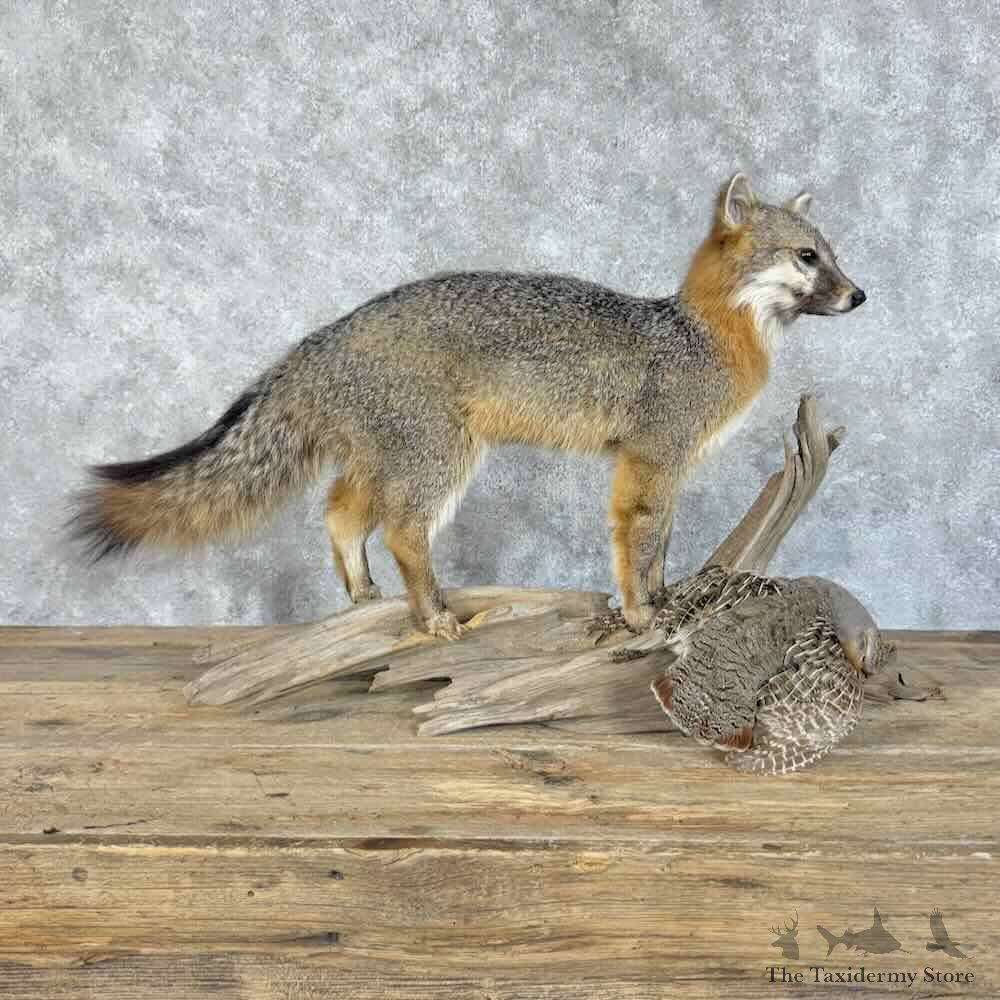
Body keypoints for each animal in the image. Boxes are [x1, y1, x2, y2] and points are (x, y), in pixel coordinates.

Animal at [70, 173, 865, 639]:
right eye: (807, 258)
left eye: (831, 253)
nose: (861, 295)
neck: (701, 333)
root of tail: (329, 331)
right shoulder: (649, 463)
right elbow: (635, 546)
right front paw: (640, 614)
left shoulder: (666, 469)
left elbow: (663, 545)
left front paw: (666, 600)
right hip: (439, 461)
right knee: (399, 532)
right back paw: (433, 617)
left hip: (398, 457)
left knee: (340, 511)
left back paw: (367, 599)